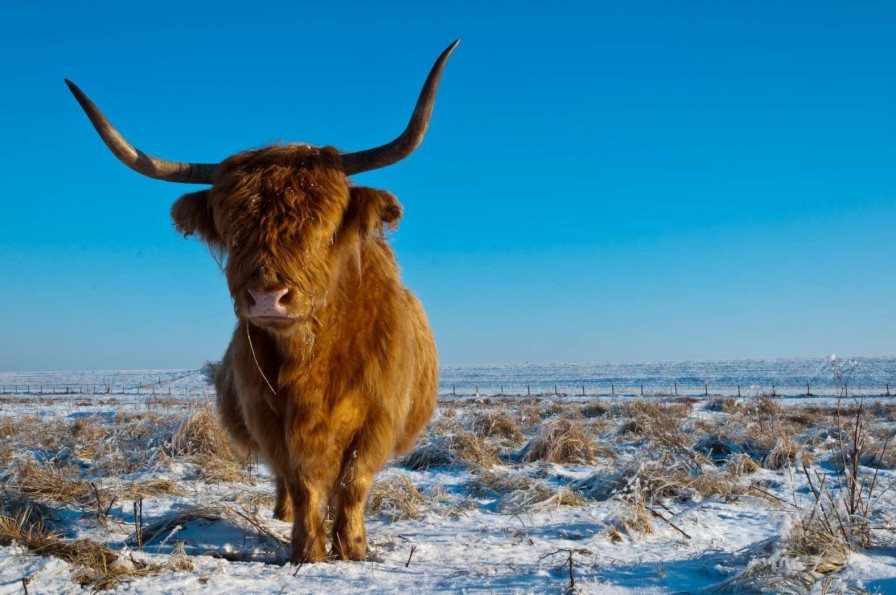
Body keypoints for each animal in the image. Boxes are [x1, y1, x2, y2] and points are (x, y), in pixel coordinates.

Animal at [66, 40, 456, 564]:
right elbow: (301, 481)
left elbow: (353, 483)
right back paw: (282, 515)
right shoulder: (269, 420)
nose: (268, 296)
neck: (315, 357)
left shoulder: (377, 419)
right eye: (232, 228)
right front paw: (307, 550)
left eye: (325, 226)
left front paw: (352, 548)